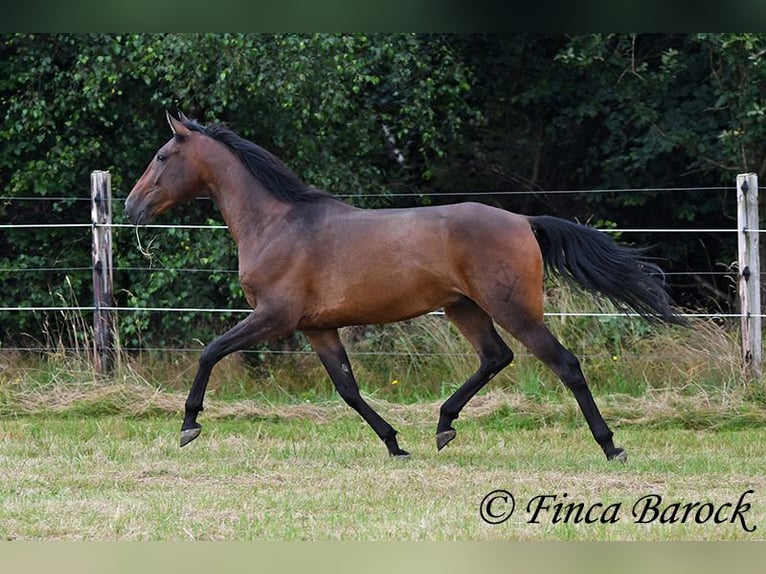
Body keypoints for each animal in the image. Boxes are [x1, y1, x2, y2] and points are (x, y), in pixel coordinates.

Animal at [126, 111, 684, 464]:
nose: (131, 207)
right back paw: (443, 426)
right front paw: (395, 444)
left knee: (564, 364)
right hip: (465, 309)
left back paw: (611, 446)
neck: (279, 223)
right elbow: (348, 389)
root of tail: (524, 222)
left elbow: (210, 351)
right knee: (495, 358)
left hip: (514, 310)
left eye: (161, 156)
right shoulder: (317, 329)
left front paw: (189, 425)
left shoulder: (274, 317)